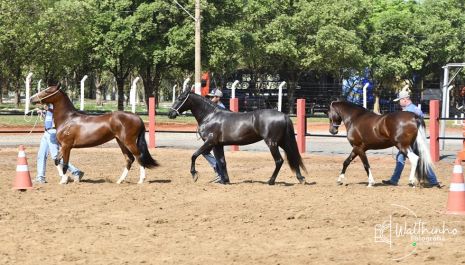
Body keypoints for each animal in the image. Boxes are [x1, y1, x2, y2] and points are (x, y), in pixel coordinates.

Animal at [30, 83, 159, 183]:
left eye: (47, 90)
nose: (31, 98)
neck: (67, 119)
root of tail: (137, 118)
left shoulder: (66, 146)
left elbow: (62, 163)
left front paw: (64, 180)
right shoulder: (65, 147)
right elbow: (58, 161)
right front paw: (64, 179)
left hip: (129, 142)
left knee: (138, 156)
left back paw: (141, 180)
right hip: (121, 142)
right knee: (129, 159)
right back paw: (120, 180)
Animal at [166, 88, 304, 184]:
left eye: (180, 98)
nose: (170, 114)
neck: (210, 116)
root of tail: (284, 115)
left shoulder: (210, 142)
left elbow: (194, 155)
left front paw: (194, 175)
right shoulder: (218, 145)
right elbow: (221, 161)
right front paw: (224, 180)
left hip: (272, 143)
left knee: (279, 161)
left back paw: (270, 181)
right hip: (283, 142)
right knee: (293, 156)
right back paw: (301, 178)